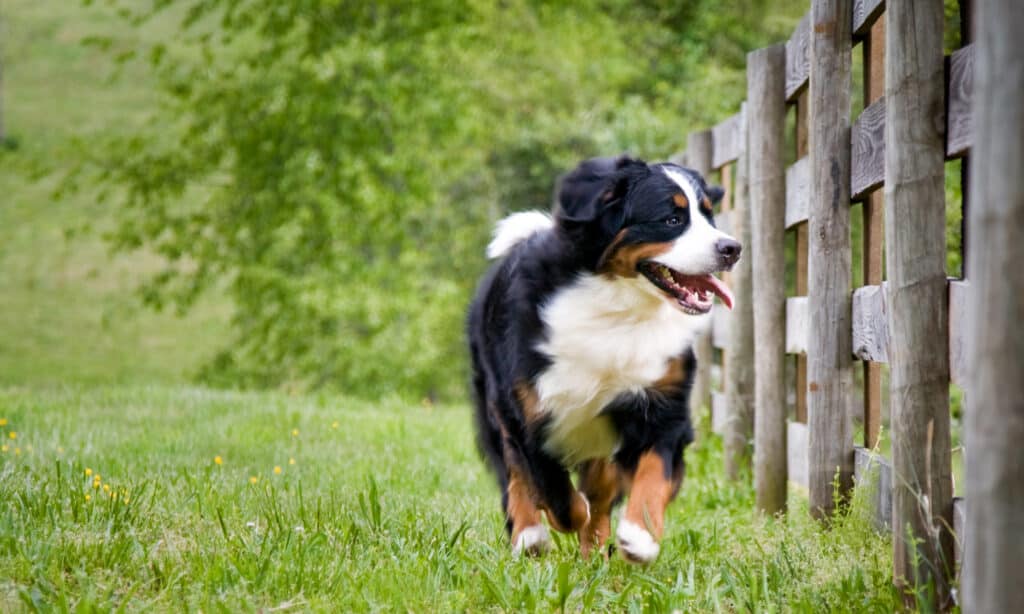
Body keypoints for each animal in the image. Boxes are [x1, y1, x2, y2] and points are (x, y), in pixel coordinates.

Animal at [468, 155, 741, 564]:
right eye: (672, 219)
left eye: (709, 216)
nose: (732, 248)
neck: (620, 309)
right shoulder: (529, 411)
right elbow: (555, 492)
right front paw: (560, 518)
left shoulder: (663, 404)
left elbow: (654, 471)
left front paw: (641, 536)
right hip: (495, 406)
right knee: (515, 472)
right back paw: (530, 535)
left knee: (599, 485)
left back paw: (594, 549)